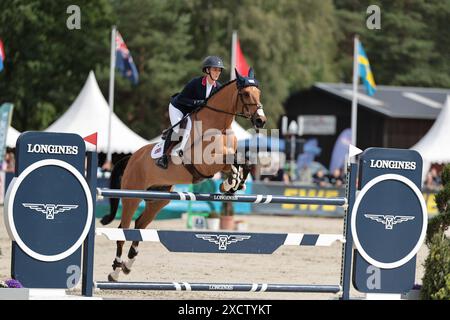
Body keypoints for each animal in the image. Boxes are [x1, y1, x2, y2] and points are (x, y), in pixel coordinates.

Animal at [100, 69, 266, 282]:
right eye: (245, 94)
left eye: (258, 93)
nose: (261, 120)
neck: (218, 126)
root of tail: (132, 157)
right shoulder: (205, 163)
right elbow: (228, 160)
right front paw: (231, 183)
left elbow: (242, 161)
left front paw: (233, 184)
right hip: (132, 197)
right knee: (123, 228)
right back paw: (115, 271)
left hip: (159, 199)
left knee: (140, 225)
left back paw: (128, 263)